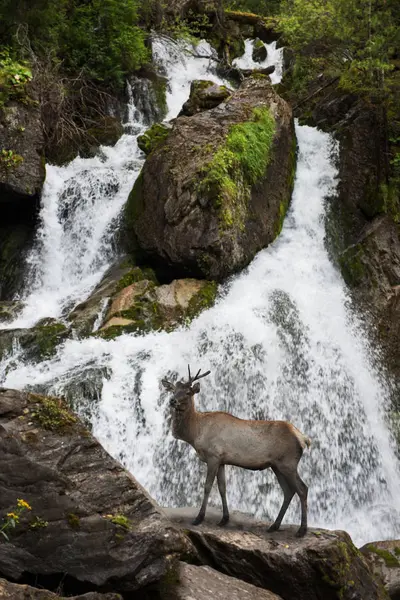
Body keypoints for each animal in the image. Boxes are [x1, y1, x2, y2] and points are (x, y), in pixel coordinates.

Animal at [161, 366, 310, 540]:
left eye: (188, 392)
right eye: (173, 390)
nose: (172, 401)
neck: (196, 433)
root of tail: (303, 438)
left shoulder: (213, 456)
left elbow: (207, 487)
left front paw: (199, 518)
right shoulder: (221, 460)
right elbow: (222, 488)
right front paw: (224, 519)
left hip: (288, 463)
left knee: (302, 489)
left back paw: (301, 530)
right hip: (277, 465)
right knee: (288, 491)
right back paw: (274, 526)